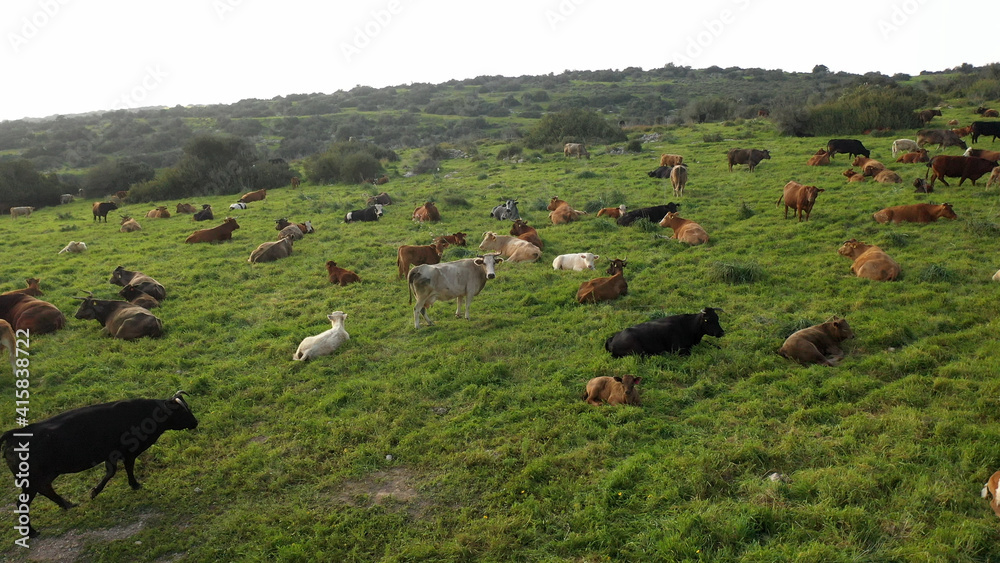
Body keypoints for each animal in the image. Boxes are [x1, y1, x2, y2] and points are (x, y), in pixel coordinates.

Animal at [0, 391, 196, 537]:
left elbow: (111, 471)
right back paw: (31, 532)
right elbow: (123, 469)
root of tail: (14, 434)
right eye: (182, 411)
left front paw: (96, 491)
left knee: (46, 490)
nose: (195, 422)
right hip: (31, 481)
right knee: (23, 502)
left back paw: (67, 505)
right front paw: (133, 485)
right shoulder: (128, 451)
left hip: (43, 477)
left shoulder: (113, 454)